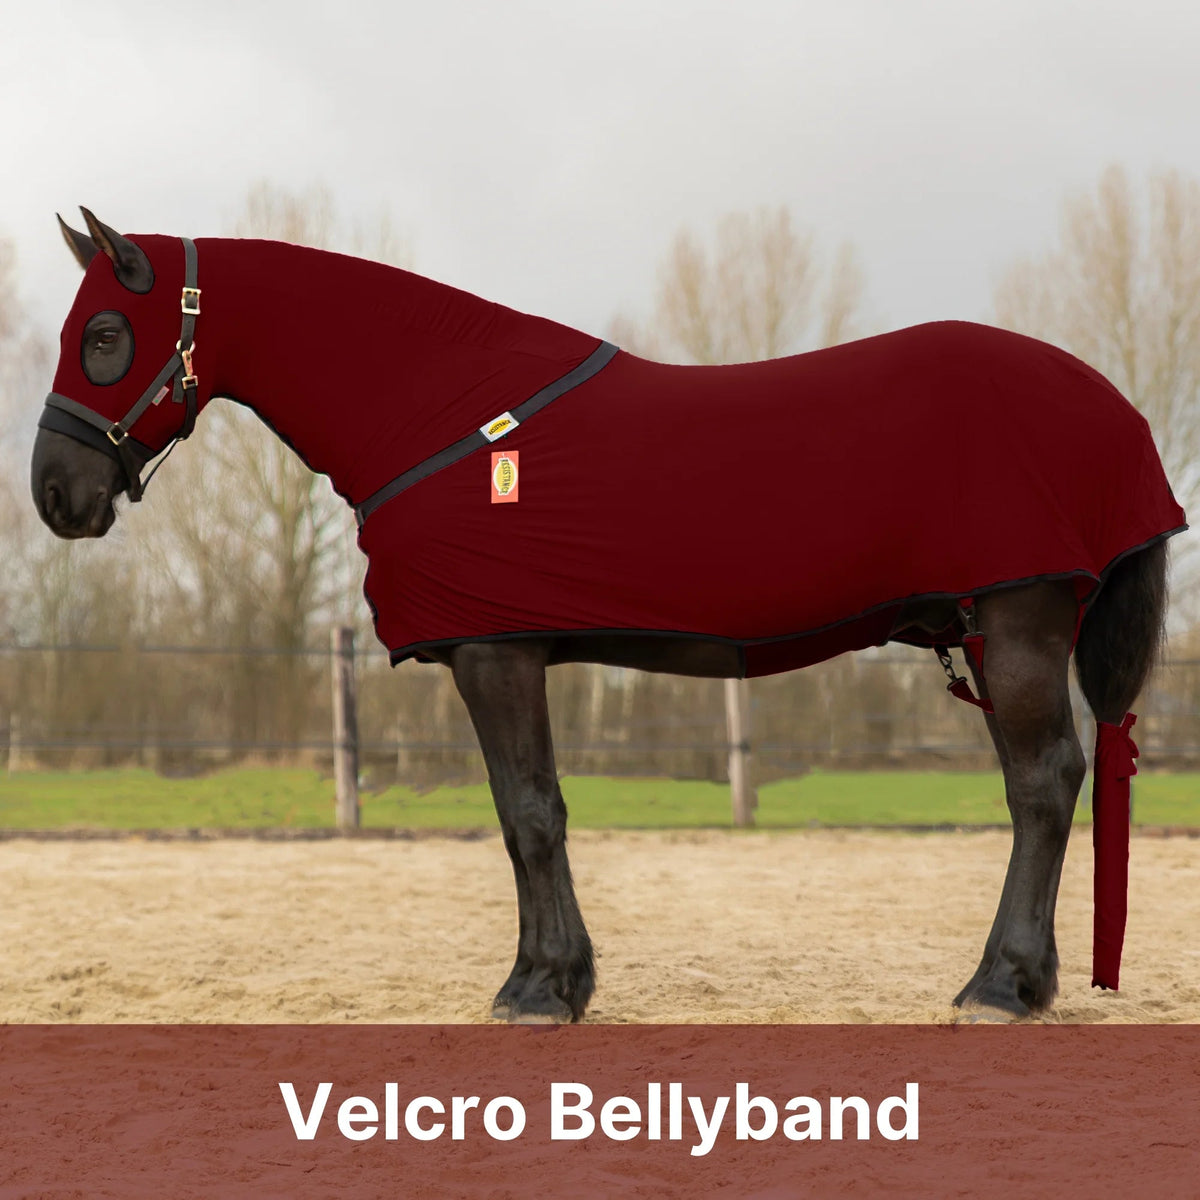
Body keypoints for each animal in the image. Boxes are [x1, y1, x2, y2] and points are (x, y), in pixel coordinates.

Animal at [31, 209, 1184, 1024]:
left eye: (104, 334)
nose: (55, 494)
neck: (449, 412)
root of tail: (1112, 407)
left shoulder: (494, 652)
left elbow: (529, 813)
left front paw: (539, 990)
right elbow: (529, 814)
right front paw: (560, 979)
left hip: (1020, 624)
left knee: (1043, 785)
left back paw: (1000, 987)